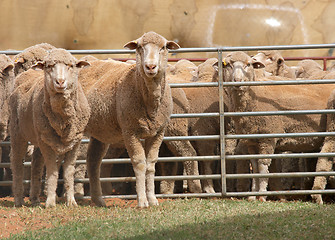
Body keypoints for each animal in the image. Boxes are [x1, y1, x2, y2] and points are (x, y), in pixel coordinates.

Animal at [9, 48, 90, 206]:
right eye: (49, 66)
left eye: (70, 66)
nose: (60, 82)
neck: (63, 119)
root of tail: (27, 72)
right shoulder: (47, 143)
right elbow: (52, 171)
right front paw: (51, 202)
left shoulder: (75, 141)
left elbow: (69, 171)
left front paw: (71, 201)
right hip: (19, 134)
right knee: (17, 163)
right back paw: (18, 200)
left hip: (40, 137)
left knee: (36, 165)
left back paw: (34, 199)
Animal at [78, 31, 180, 208]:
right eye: (139, 47)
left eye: (163, 47)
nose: (150, 67)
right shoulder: (130, 131)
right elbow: (139, 163)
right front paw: (142, 201)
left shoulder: (158, 132)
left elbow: (151, 164)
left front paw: (153, 199)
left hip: (100, 132)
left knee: (93, 161)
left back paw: (98, 200)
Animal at [223, 51, 335, 202]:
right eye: (228, 65)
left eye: (248, 65)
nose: (237, 80)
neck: (254, 95)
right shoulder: (251, 141)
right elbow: (254, 167)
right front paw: (252, 195)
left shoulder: (268, 138)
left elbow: (262, 167)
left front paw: (261, 195)